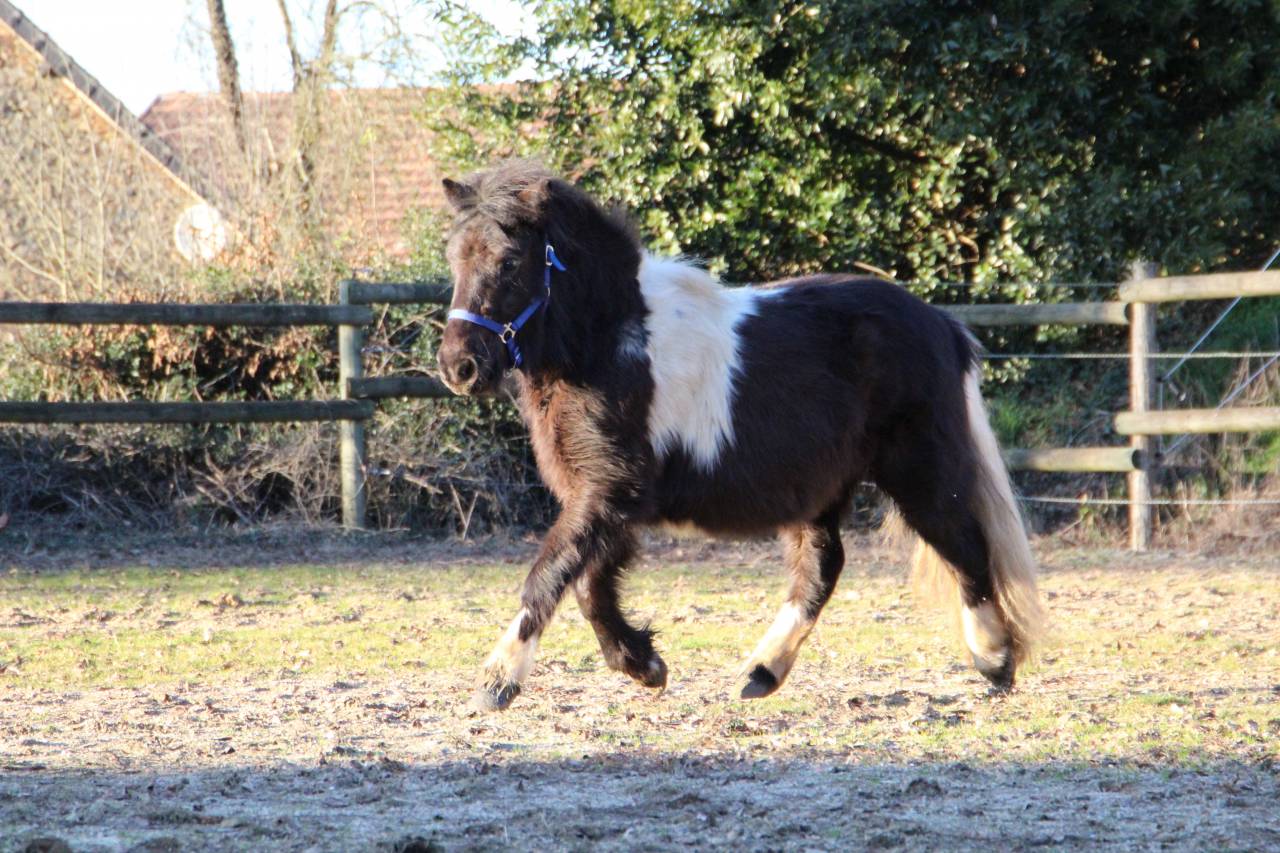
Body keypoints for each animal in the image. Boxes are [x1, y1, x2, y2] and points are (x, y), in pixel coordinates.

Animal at [436, 160, 1045, 711]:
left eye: (510, 261)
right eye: (455, 258)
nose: (458, 367)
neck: (609, 340)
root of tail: (944, 325)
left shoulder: (609, 491)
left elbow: (550, 575)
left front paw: (497, 680)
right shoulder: (604, 499)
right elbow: (588, 585)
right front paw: (644, 664)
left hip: (917, 470)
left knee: (965, 546)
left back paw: (994, 660)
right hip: (821, 487)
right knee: (822, 569)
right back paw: (761, 672)